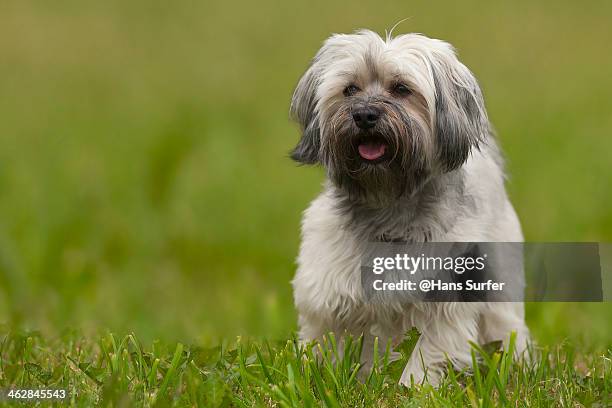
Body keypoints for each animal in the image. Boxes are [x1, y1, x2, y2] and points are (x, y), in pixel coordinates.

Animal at [290, 29, 528, 386]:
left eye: (401, 89)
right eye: (350, 89)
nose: (364, 115)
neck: (387, 201)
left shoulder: (443, 300)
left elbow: (426, 353)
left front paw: (412, 387)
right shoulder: (327, 291)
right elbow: (328, 342)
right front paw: (323, 378)